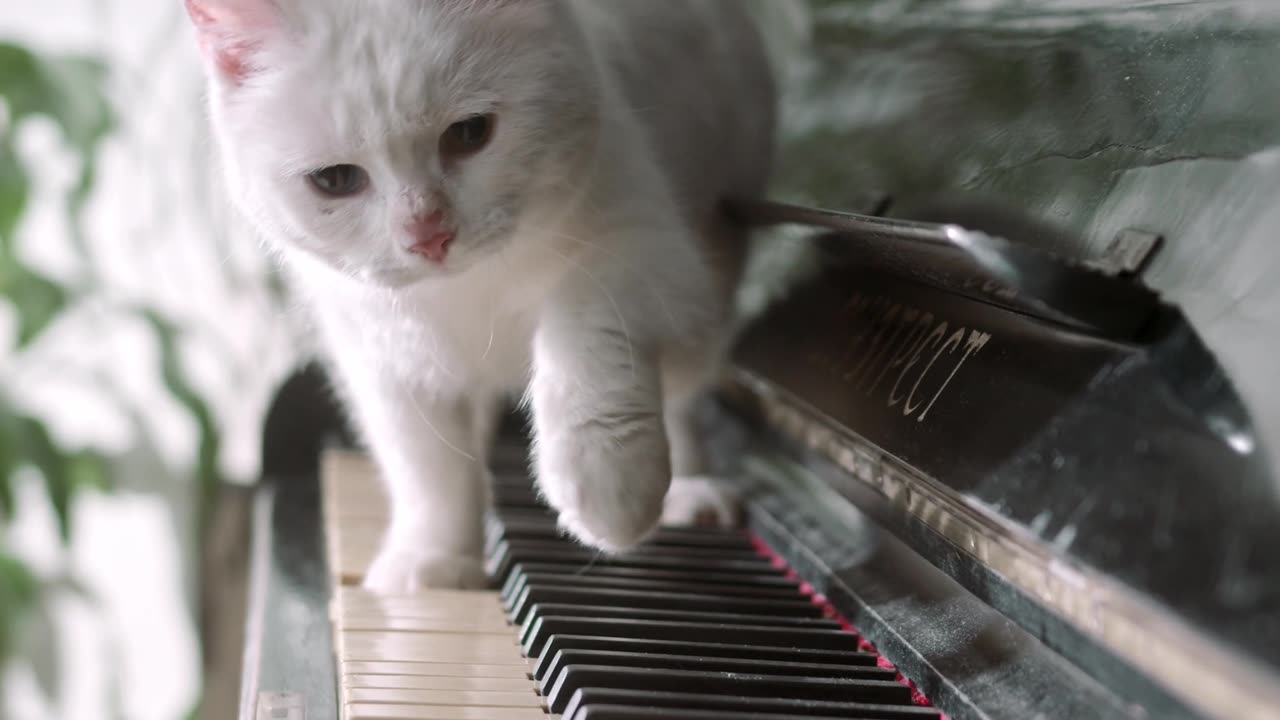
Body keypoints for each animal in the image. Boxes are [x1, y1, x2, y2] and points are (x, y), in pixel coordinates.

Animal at [185, 1, 773, 589]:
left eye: (469, 133)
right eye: (334, 181)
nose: (427, 235)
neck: (466, 291)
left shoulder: (646, 253)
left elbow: (587, 339)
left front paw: (607, 483)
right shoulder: (381, 356)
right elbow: (429, 468)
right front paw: (435, 558)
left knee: (682, 394)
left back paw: (689, 490)